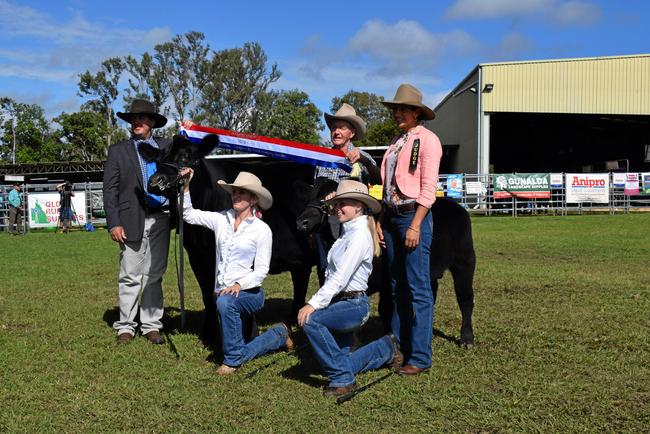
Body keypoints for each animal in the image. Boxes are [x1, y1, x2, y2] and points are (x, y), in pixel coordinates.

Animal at [296, 178, 474, 348]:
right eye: (309, 197)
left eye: (326, 199)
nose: (301, 222)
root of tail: (456, 206)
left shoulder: (388, 282)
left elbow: (386, 309)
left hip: (464, 261)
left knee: (465, 298)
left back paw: (467, 338)